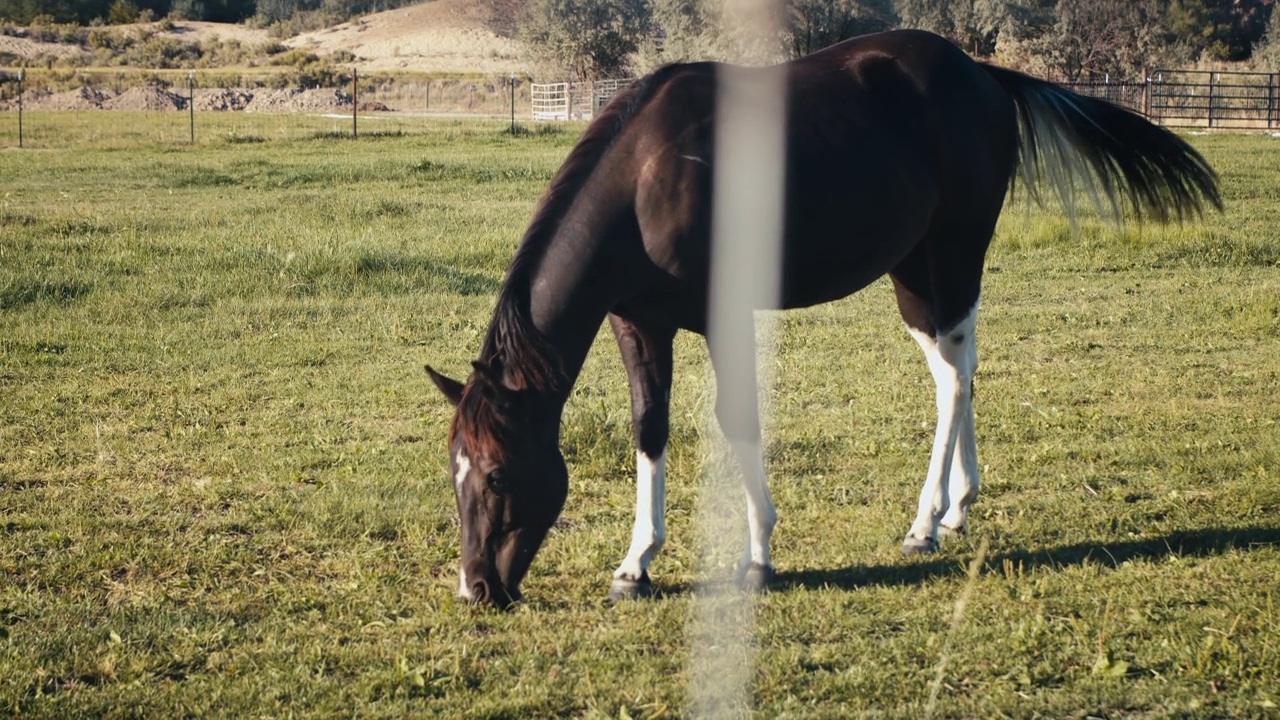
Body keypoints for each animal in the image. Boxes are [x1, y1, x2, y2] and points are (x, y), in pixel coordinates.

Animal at [422, 29, 1218, 604]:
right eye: (453, 470)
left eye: (495, 475)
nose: (475, 590)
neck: (646, 177)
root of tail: (985, 76)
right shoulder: (638, 322)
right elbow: (649, 429)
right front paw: (635, 564)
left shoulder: (722, 314)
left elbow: (739, 417)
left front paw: (758, 556)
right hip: (915, 273)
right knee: (958, 365)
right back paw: (958, 507)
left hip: (953, 255)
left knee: (954, 379)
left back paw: (925, 524)